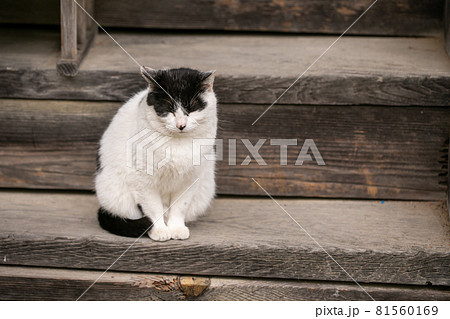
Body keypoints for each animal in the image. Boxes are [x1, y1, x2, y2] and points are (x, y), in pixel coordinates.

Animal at [96, 67, 218, 242]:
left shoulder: (190, 180)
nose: (181, 125)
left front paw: (177, 228)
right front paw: (159, 230)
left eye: (191, 108)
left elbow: (180, 206)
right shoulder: (142, 180)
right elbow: (153, 208)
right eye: (169, 108)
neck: (177, 145)